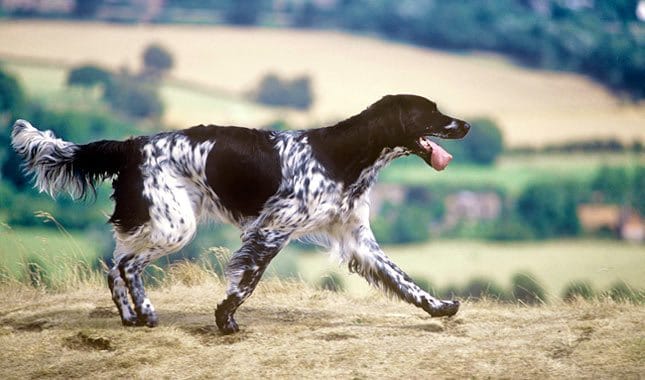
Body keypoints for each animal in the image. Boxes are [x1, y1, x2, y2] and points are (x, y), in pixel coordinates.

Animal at [11, 94, 468, 332]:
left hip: (159, 222)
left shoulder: (357, 239)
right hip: (176, 225)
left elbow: (404, 280)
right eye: (431, 112)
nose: (465, 125)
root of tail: (132, 145)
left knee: (114, 266)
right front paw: (224, 318)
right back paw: (146, 312)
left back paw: (130, 316)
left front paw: (440, 307)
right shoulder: (272, 229)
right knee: (127, 266)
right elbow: (247, 282)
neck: (342, 157)